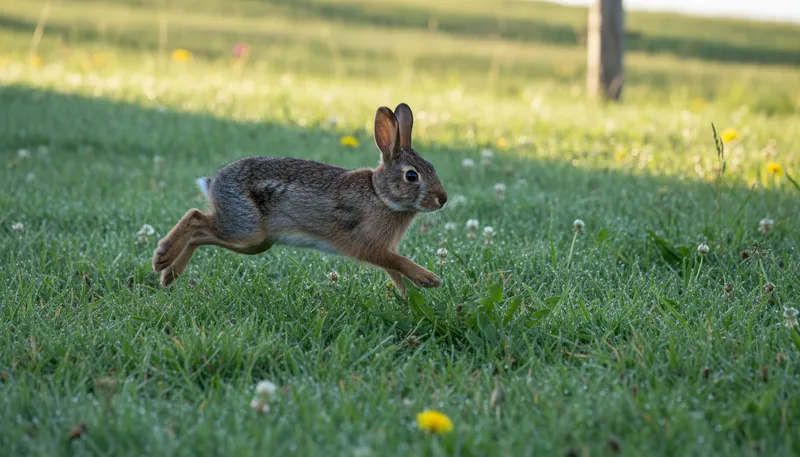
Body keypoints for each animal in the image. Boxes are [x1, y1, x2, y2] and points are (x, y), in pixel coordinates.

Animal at [152, 103, 448, 296]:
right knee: (195, 218)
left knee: (200, 232)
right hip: (245, 229)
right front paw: (429, 279)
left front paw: (409, 297)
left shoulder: (383, 249)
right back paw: (162, 257)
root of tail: (215, 183)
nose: (442, 199)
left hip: (255, 243)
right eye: (412, 176)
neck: (381, 195)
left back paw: (168, 274)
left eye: (433, 167)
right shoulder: (368, 245)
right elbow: (397, 262)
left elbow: (395, 271)